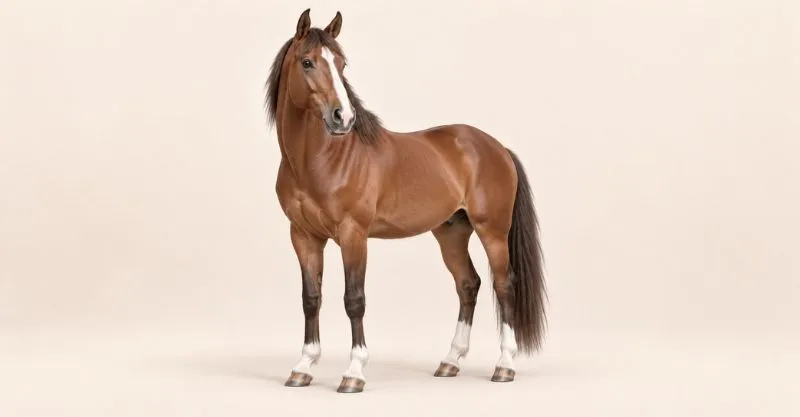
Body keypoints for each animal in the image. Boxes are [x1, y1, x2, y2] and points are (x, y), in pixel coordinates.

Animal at [264, 9, 547, 393]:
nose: (343, 117)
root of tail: (496, 147)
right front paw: (303, 367)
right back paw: (450, 361)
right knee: (468, 284)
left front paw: (354, 373)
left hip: (493, 232)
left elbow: (354, 300)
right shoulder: (304, 236)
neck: (319, 161)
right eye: (307, 62)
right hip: (451, 233)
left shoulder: (353, 236)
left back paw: (504, 366)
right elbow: (311, 299)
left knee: (504, 286)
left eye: (341, 63)